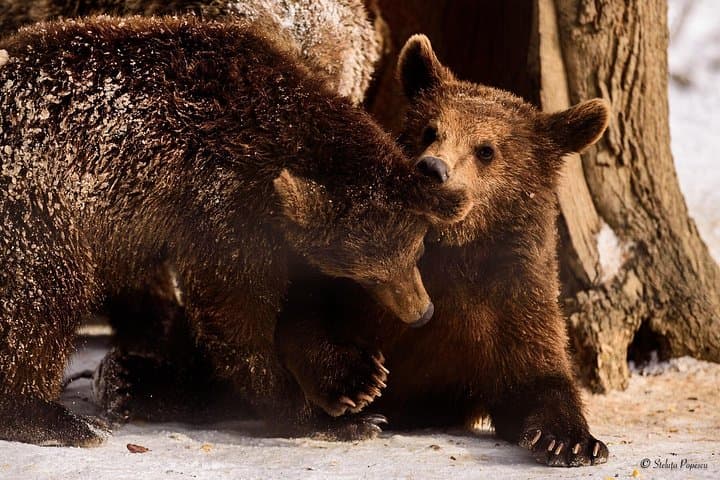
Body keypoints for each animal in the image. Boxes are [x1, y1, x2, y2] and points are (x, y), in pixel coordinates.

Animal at [0, 17, 470, 447]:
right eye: (368, 275)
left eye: (417, 252)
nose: (422, 311)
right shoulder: (221, 201)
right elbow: (237, 315)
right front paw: (321, 416)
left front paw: (353, 378)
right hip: (38, 207)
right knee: (43, 299)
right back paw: (53, 418)